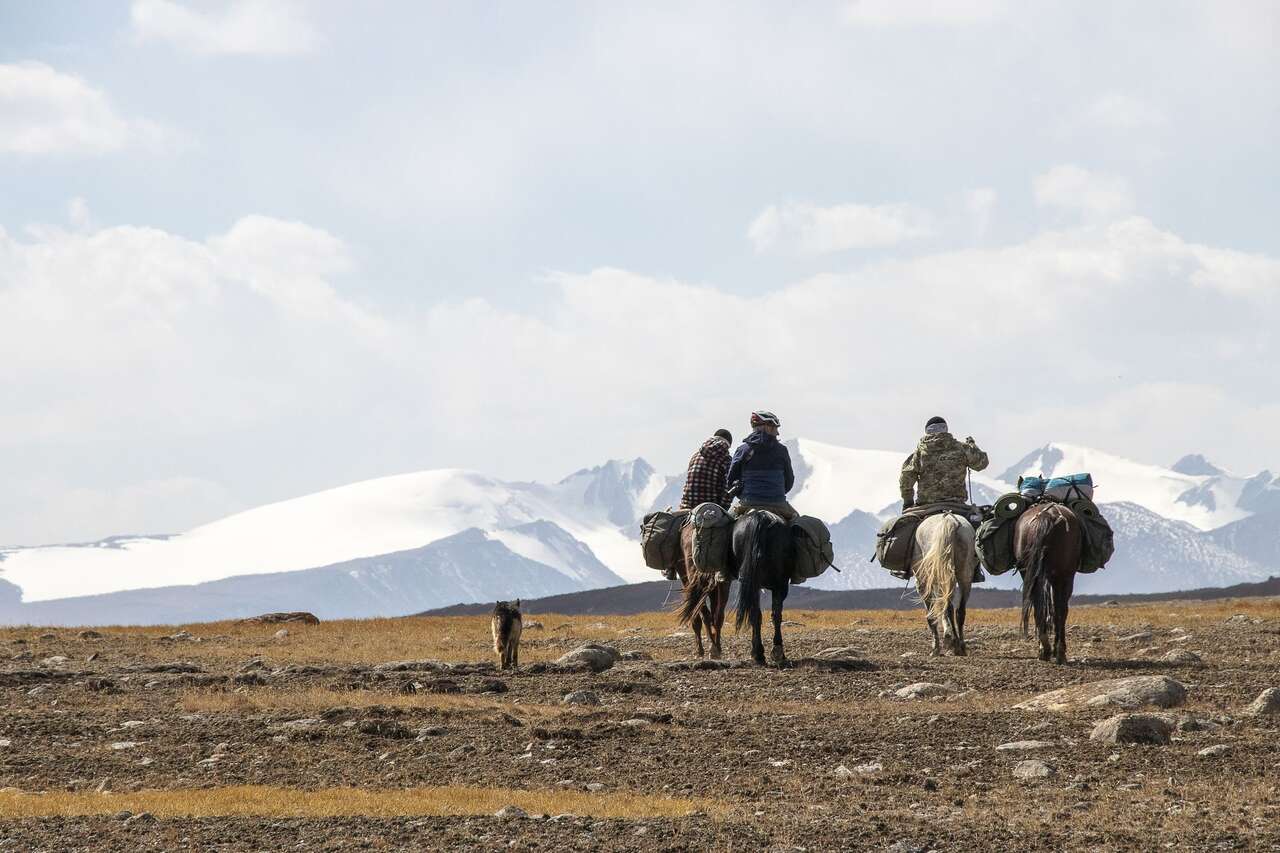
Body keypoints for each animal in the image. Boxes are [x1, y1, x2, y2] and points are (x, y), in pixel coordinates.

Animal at [670, 525, 732, 655]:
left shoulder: (685, 577)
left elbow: (696, 616)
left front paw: (700, 649)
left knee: (705, 614)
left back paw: (711, 648)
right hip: (724, 582)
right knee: (718, 615)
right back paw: (717, 647)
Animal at [916, 507, 972, 653]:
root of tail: (949, 520)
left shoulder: (923, 582)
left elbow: (931, 613)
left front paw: (936, 646)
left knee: (947, 606)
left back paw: (951, 642)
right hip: (964, 574)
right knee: (959, 610)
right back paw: (960, 645)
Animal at [1018, 502, 1080, 660]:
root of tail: (1046, 515)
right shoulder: (1066, 577)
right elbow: (1060, 609)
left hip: (1028, 571)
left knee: (1038, 604)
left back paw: (1045, 648)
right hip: (1063, 575)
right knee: (1059, 609)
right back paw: (1056, 650)